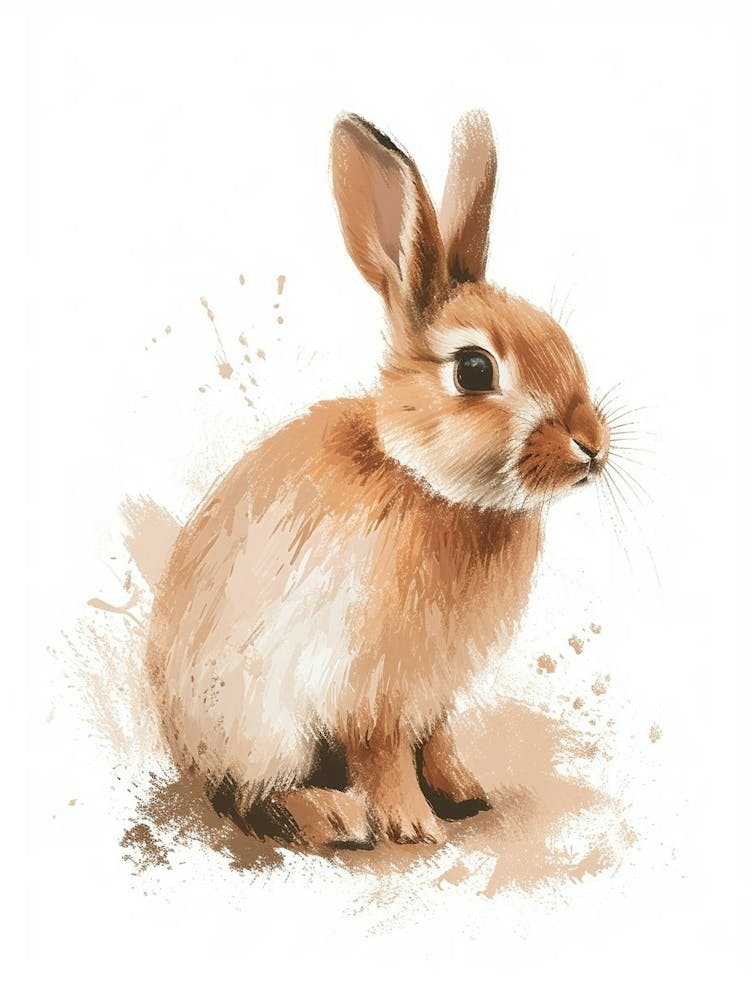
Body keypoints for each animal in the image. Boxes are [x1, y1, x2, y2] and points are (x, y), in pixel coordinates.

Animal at [146, 110, 611, 851]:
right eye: (474, 369)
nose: (590, 447)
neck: (423, 480)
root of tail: (181, 746)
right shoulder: (370, 692)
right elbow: (385, 755)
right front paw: (414, 825)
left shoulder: (433, 693)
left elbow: (436, 740)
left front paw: (464, 792)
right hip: (262, 727)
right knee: (252, 800)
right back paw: (337, 817)